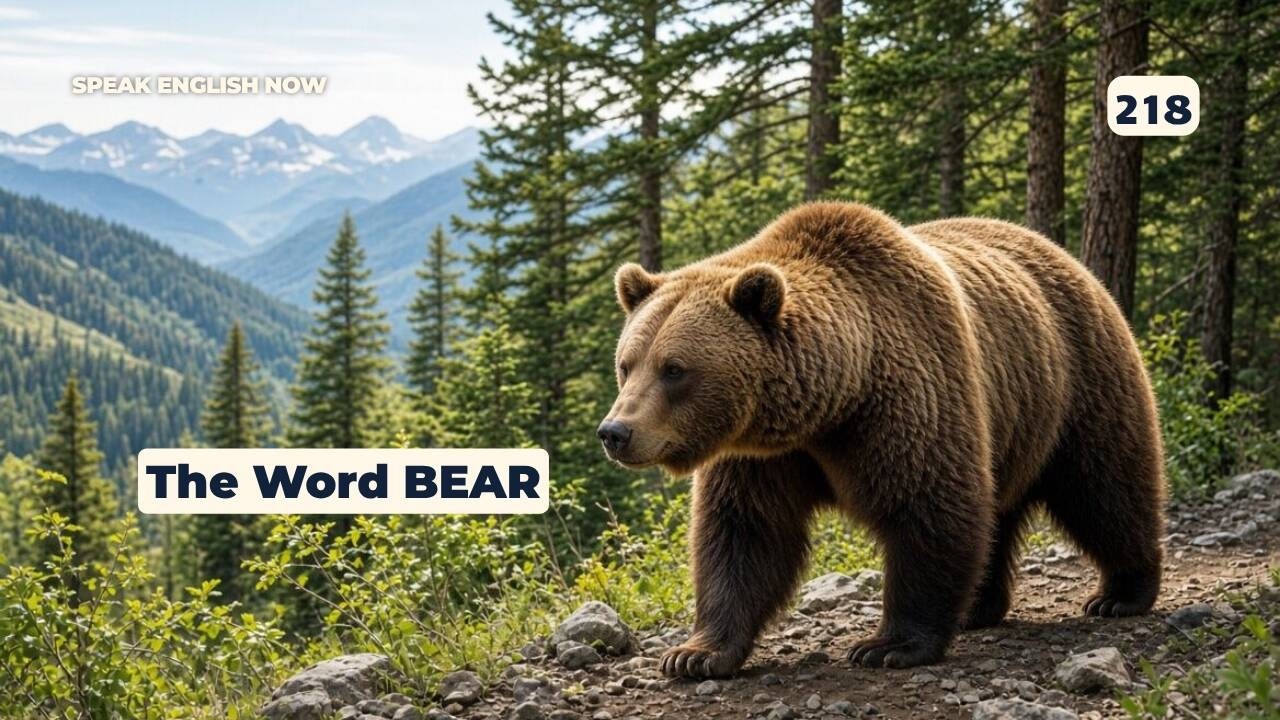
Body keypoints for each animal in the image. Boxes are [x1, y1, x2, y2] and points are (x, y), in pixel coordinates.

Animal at [597, 202, 1165, 678]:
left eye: (674, 369)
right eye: (627, 364)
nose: (615, 432)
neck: (832, 401)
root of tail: (1064, 255)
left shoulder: (909, 399)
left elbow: (928, 508)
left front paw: (889, 645)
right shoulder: (762, 455)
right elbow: (744, 533)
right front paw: (696, 654)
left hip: (1075, 383)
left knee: (1105, 486)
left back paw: (1121, 592)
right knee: (1001, 512)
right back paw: (979, 606)